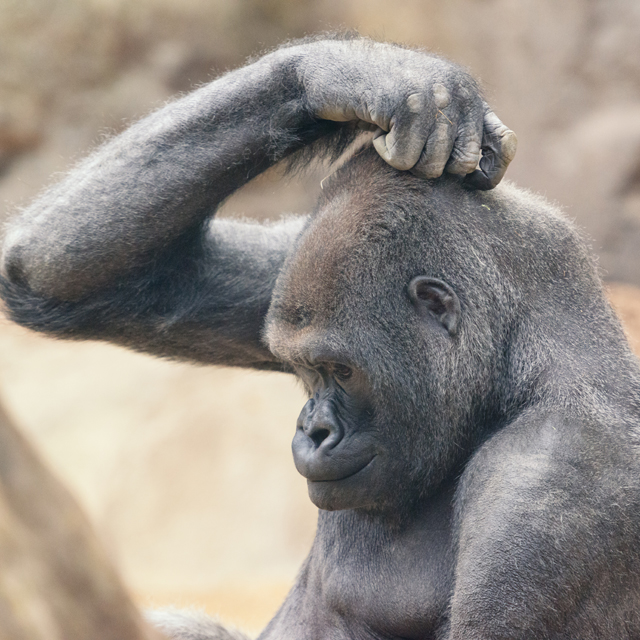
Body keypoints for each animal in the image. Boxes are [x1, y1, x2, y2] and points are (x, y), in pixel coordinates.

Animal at [4, 34, 639, 640]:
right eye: (305, 371)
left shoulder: (553, 486)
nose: (313, 429)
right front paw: (372, 75)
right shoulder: (286, 263)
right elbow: (77, 282)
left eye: (342, 371)